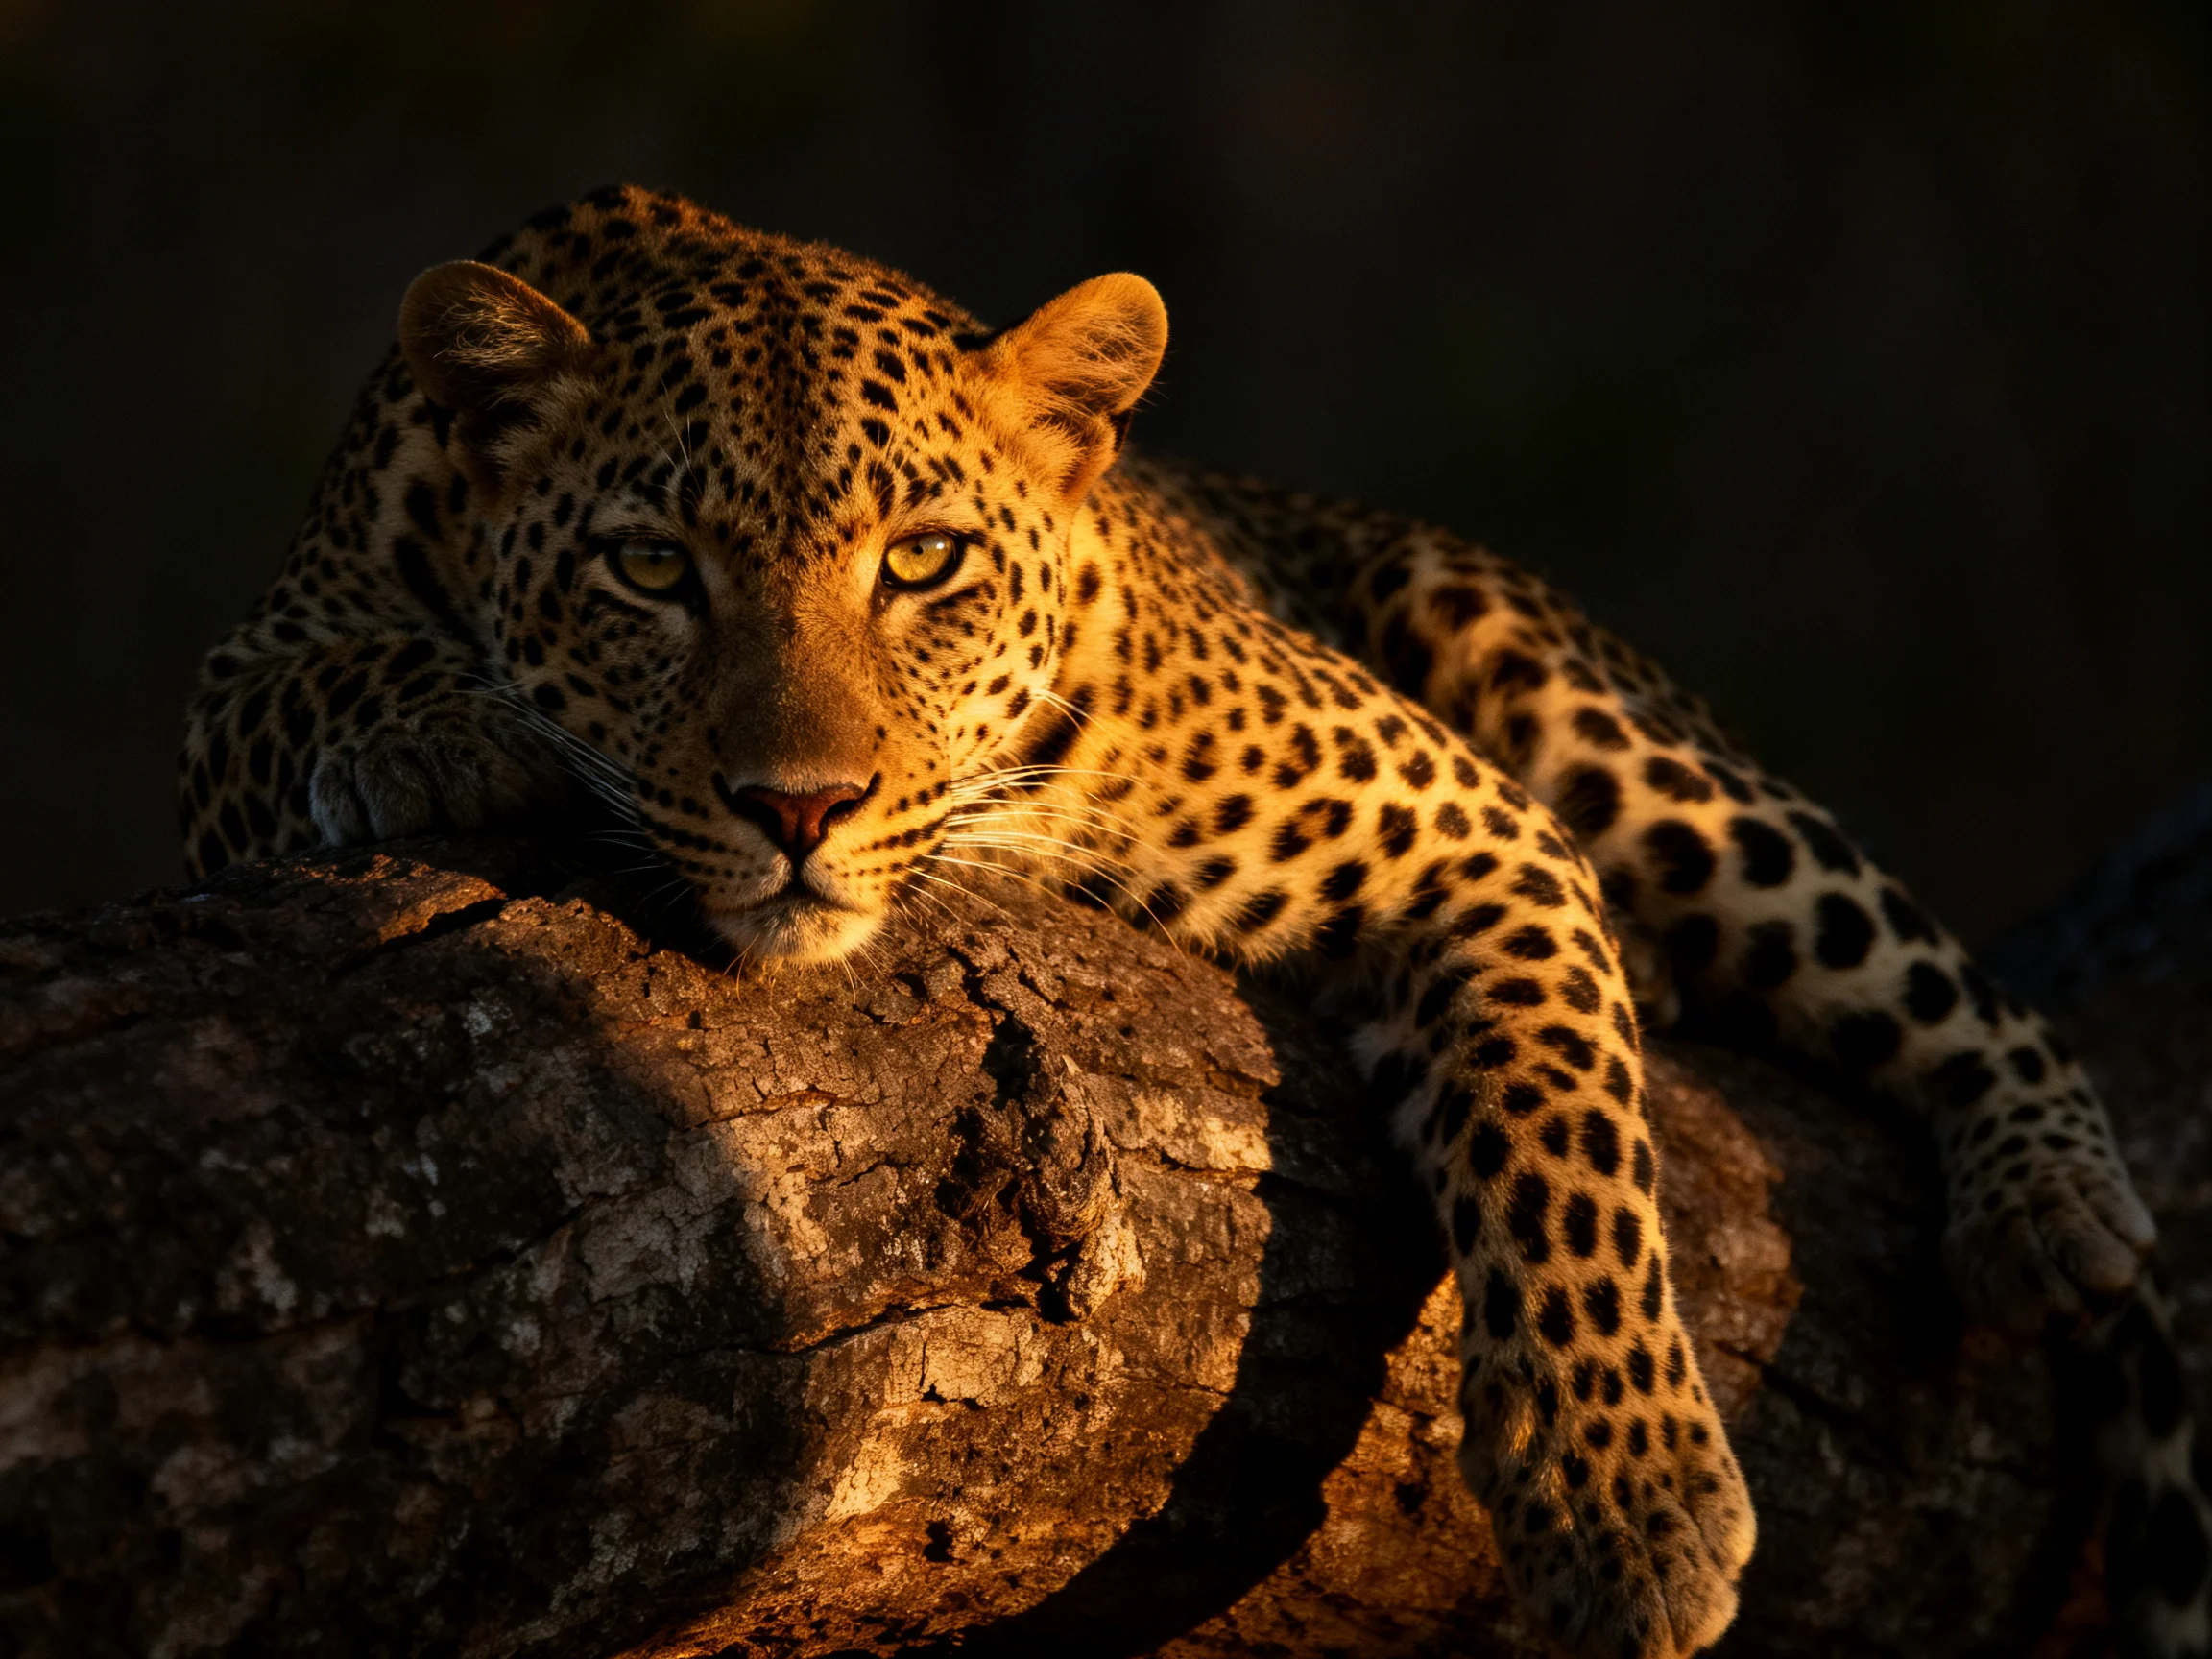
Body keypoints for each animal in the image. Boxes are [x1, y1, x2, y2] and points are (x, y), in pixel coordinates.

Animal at [177, 185, 2198, 1658]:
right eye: (649, 568)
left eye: (922, 561)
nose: (797, 807)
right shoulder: (231, 705)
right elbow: (292, 685)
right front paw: (444, 724)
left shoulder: (1469, 821)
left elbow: (1558, 1140)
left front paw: (1624, 1501)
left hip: (1572, 702)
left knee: (1923, 969)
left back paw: (2046, 1204)